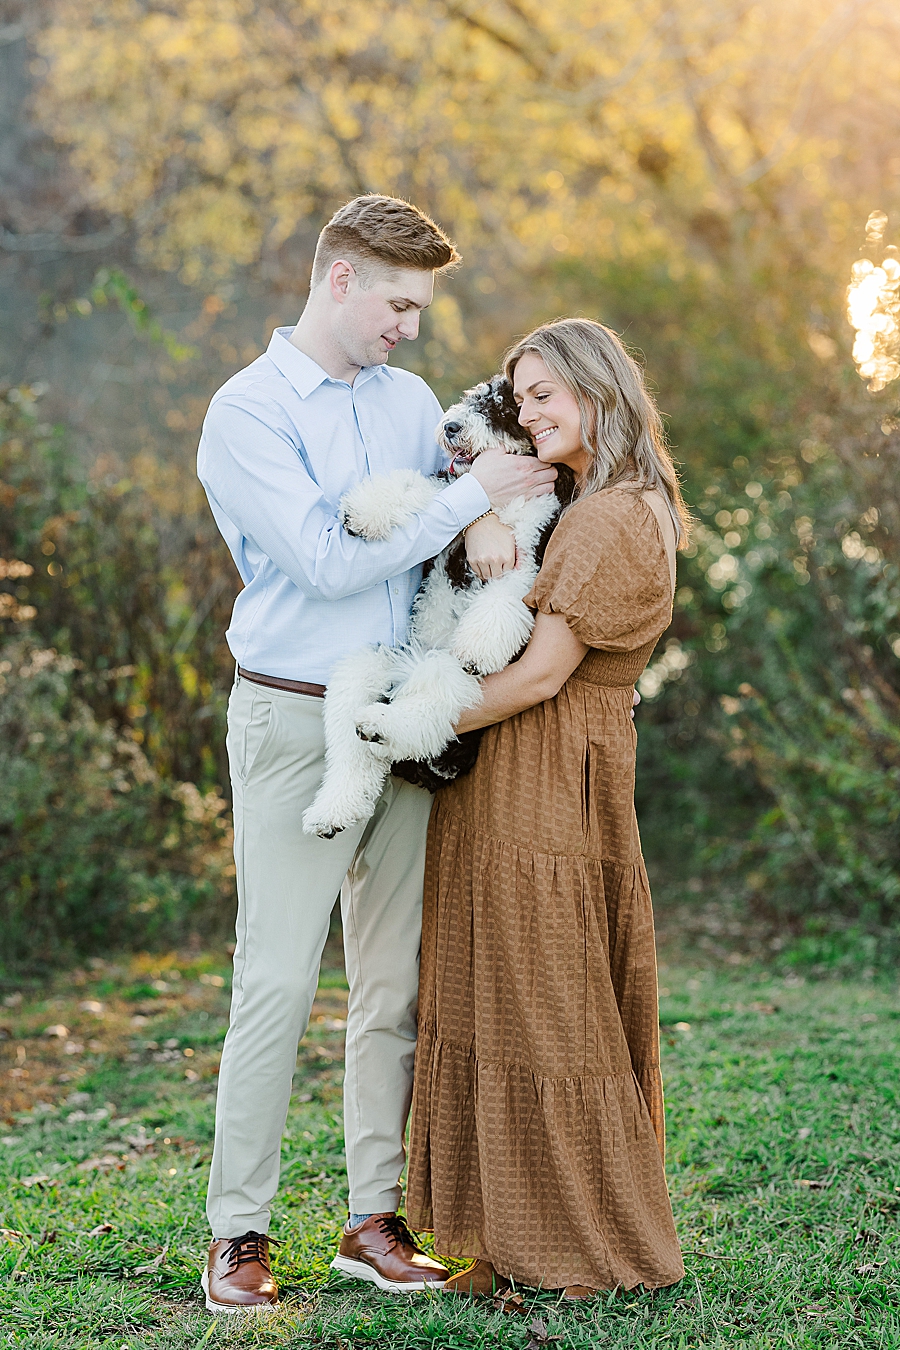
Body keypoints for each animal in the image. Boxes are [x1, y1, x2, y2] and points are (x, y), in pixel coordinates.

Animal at [300, 375, 569, 837]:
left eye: (503, 408)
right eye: (474, 397)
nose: (451, 427)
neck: (503, 504)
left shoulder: (530, 557)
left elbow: (502, 599)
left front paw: (479, 644)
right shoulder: (450, 489)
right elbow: (423, 487)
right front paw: (363, 512)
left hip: (446, 675)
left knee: (431, 706)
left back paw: (382, 727)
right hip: (373, 663)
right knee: (353, 745)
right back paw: (333, 810)